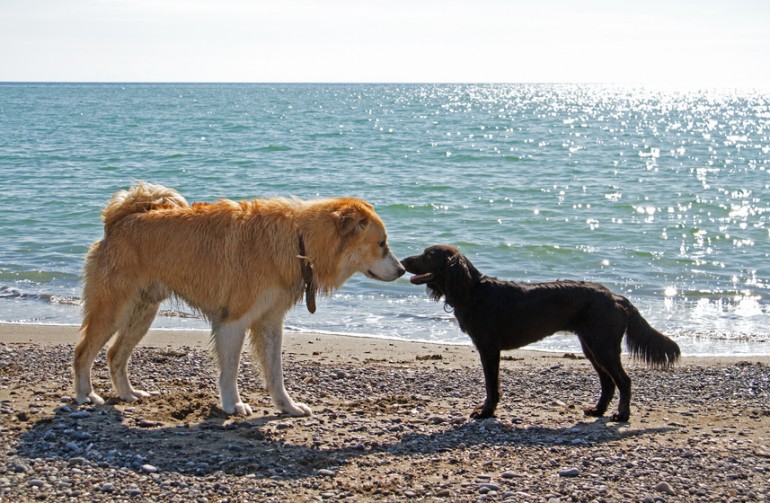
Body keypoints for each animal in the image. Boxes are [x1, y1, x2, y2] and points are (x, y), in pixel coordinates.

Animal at [74, 183, 404, 416]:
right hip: (113, 309)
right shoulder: (233, 322)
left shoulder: (269, 322)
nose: (402, 270)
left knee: (114, 355)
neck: (299, 240)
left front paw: (288, 407)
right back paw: (84, 395)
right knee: (83, 352)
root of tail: (117, 223)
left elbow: (275, 372)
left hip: (143, 311)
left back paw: (128, 394)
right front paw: (233, 405)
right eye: (382, 243)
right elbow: (230, 370)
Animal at [402, 246, 680, 424]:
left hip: (603, 346)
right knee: (608, 382)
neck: (471, 290)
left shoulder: (489, 348)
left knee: (624, 381)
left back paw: (621, 415)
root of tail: (617, 297)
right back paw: (597, 410)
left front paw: (486, 412)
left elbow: (492, 385)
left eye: (428, 255)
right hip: (591, 346)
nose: (403, 261)